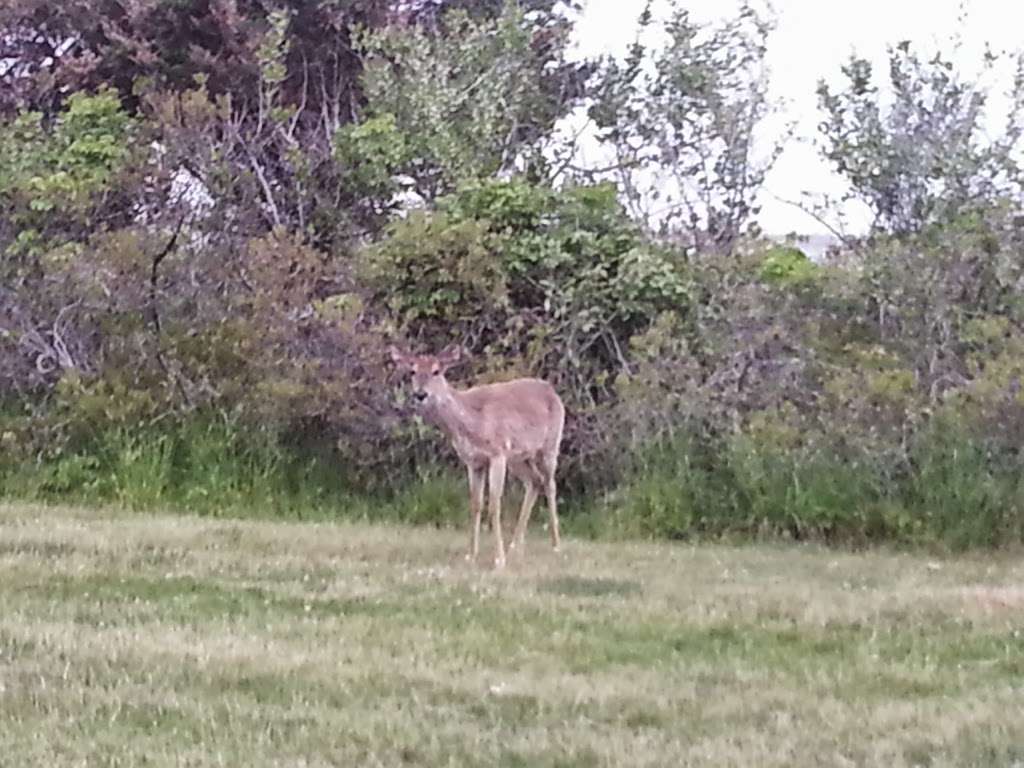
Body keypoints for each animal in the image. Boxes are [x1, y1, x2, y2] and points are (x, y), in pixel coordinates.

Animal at [391, 344, 569, 573]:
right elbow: (475, 504)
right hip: (519, 458)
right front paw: (471, 555)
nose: (420, 394)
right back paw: (515, 546)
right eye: (412, 371)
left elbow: (494, 504)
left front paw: (499, 560)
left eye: (436, 371)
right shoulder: (473, 462)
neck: (472, 422)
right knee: (535, 481)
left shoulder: (497, 453)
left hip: (550, 445)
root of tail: (552, 391)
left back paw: (556, 546)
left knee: (550, 484)